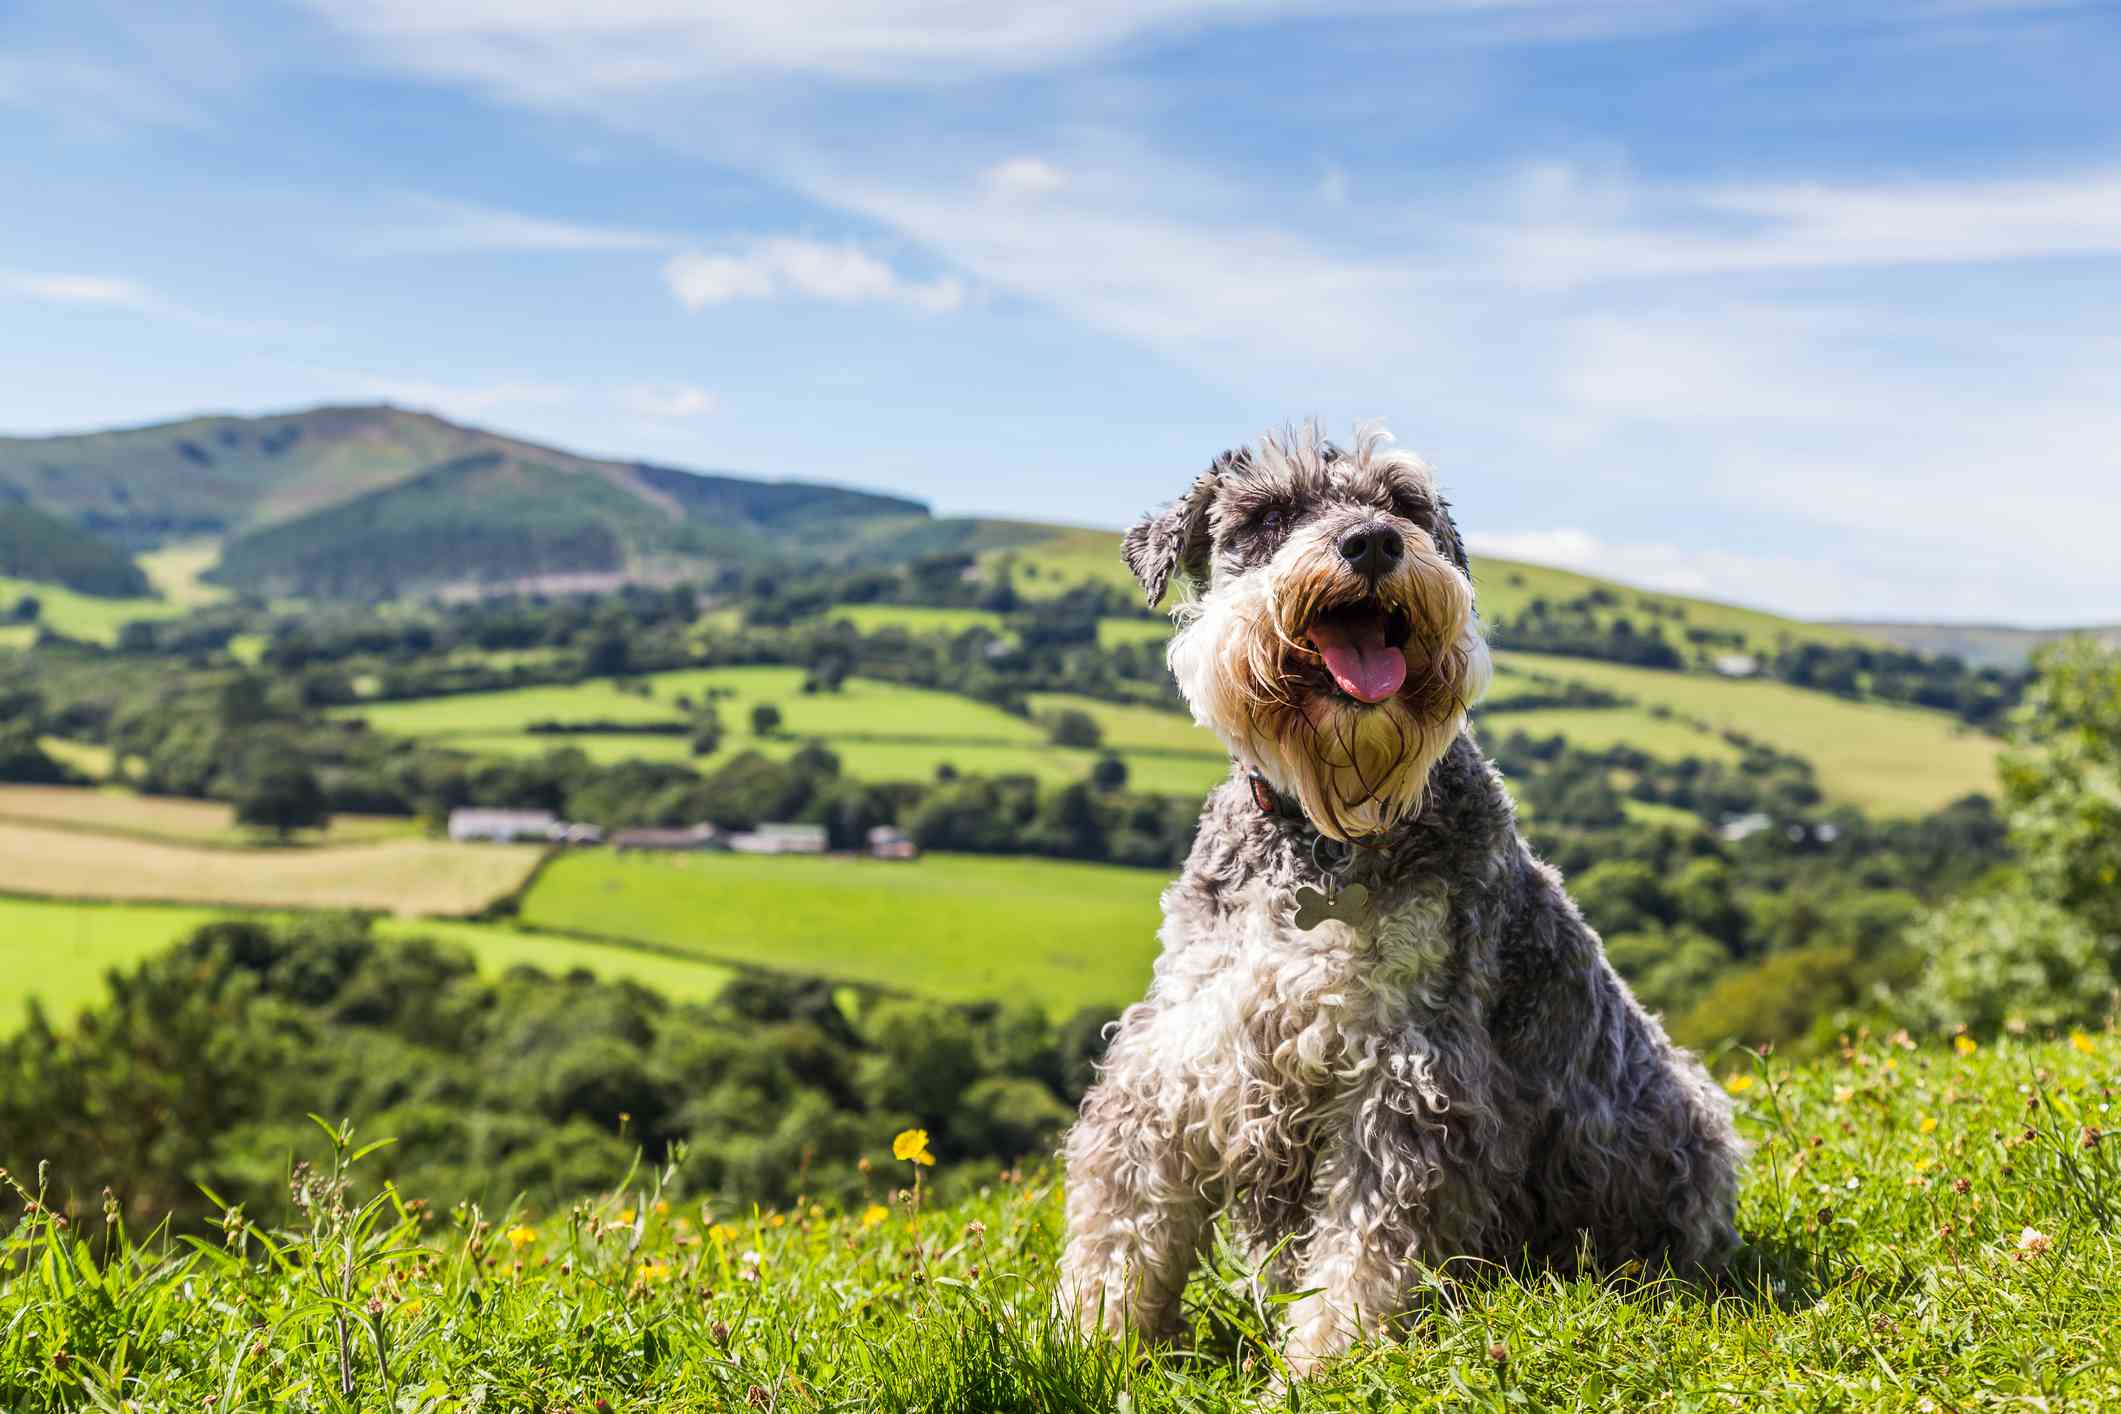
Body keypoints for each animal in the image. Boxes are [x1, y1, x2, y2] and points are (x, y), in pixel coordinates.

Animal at [1060, 426, 1739, 1373]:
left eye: (1403, 504)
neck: (1324, 837)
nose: (1373, 543)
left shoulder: (1407, 1074)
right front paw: (1091, 1344)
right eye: (1268, 514)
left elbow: (1364, 1248)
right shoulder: (1176, 1054)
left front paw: (1320, 1365)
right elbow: (1121, 1222)